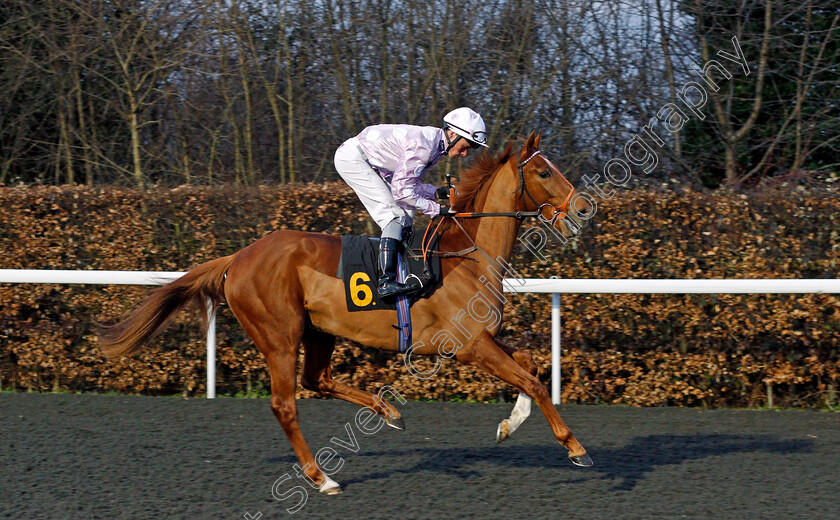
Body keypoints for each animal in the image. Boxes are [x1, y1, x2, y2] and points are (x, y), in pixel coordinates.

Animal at [98, 131, 592, 496]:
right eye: (544, 171)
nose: (584, 207)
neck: (466, 256)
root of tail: (237, 258)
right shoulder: (469, 345)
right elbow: (532, 380)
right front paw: (575, 447)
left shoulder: (482, 338)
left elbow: (529, 363)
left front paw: (509, 425)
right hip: (278, 335)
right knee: (285, 404)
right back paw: (322, 478)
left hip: (320, 330)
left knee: (317, 380)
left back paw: (386, 412)